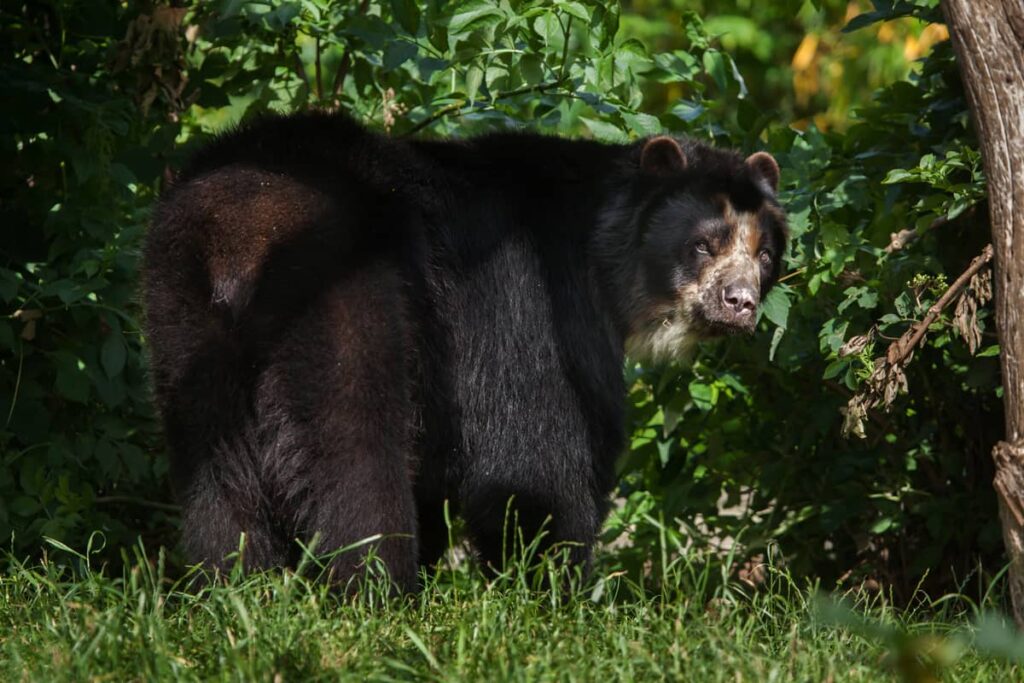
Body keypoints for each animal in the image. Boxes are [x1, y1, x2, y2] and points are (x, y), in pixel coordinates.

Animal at [142, 111, 787, 591]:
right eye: (703, 244)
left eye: (764, 254)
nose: (740, 303)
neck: (603, 255)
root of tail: (240, 238)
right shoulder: (534, 298)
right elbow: (538, 453)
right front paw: (552, 588)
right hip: (348, 291)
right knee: (354, 444)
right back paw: (377, 592)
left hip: (182, 317)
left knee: (215, 470)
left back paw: (238, 587)